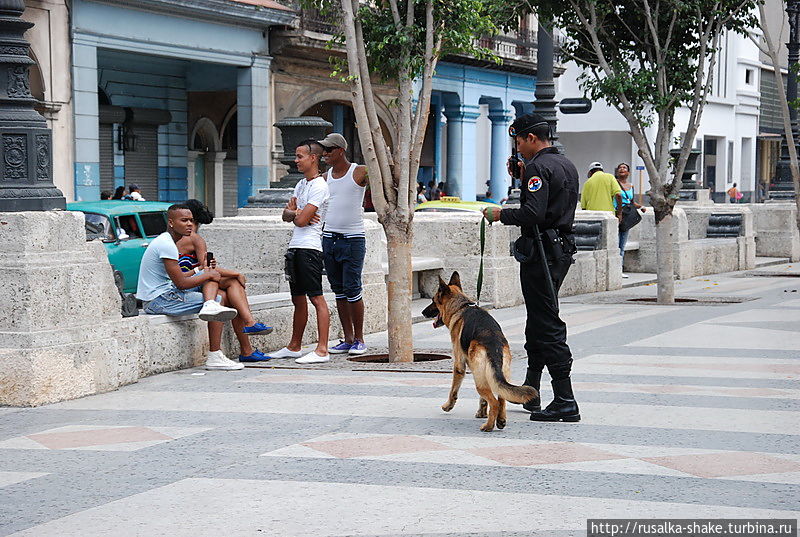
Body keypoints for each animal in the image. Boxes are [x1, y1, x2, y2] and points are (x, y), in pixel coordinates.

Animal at [418, 272, 536, 432]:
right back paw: (500, 420)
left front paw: (448, 406)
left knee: (494, 402)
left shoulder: (459, 366)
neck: (460, 307)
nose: (423, 312)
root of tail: (494, 344)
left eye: (433, 301)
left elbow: (453, 390)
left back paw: (488, 426)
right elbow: (483, 400)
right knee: (502, 397)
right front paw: (481, 412)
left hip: (479, 380)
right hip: (496, 375)